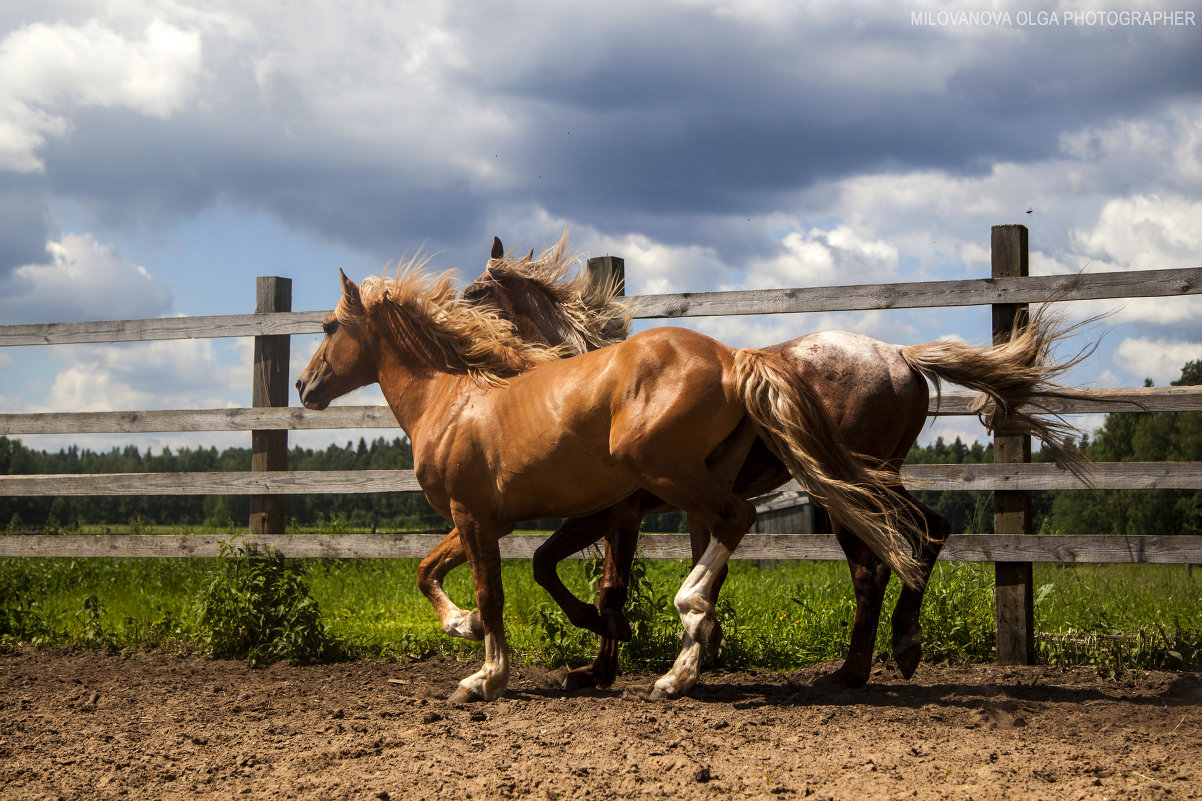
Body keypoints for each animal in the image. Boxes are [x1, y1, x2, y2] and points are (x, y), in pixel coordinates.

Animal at [295, 263, 923, 697]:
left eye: (328, 325)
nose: (304, 387)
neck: (451, 398)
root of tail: (734, 358)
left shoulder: (481, 516)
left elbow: (495, 593)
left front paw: (487, 677)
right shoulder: (485, 519)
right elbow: (431, 571)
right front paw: (466, 627)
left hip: (664, 469)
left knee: (760, 526)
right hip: (705, 478)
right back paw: (682, 669)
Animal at [420, 234, 1091, 687]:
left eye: (477, 291)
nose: (446, 331)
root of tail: (900, 356)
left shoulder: (618, 514)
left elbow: (598, 583)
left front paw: (608, 662)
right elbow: (652, 576)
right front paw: (676, 653)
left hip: (848, 486)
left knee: (902, 549)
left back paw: (885, 655)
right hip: (858, 484)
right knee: (899, 551)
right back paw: (860, 666)